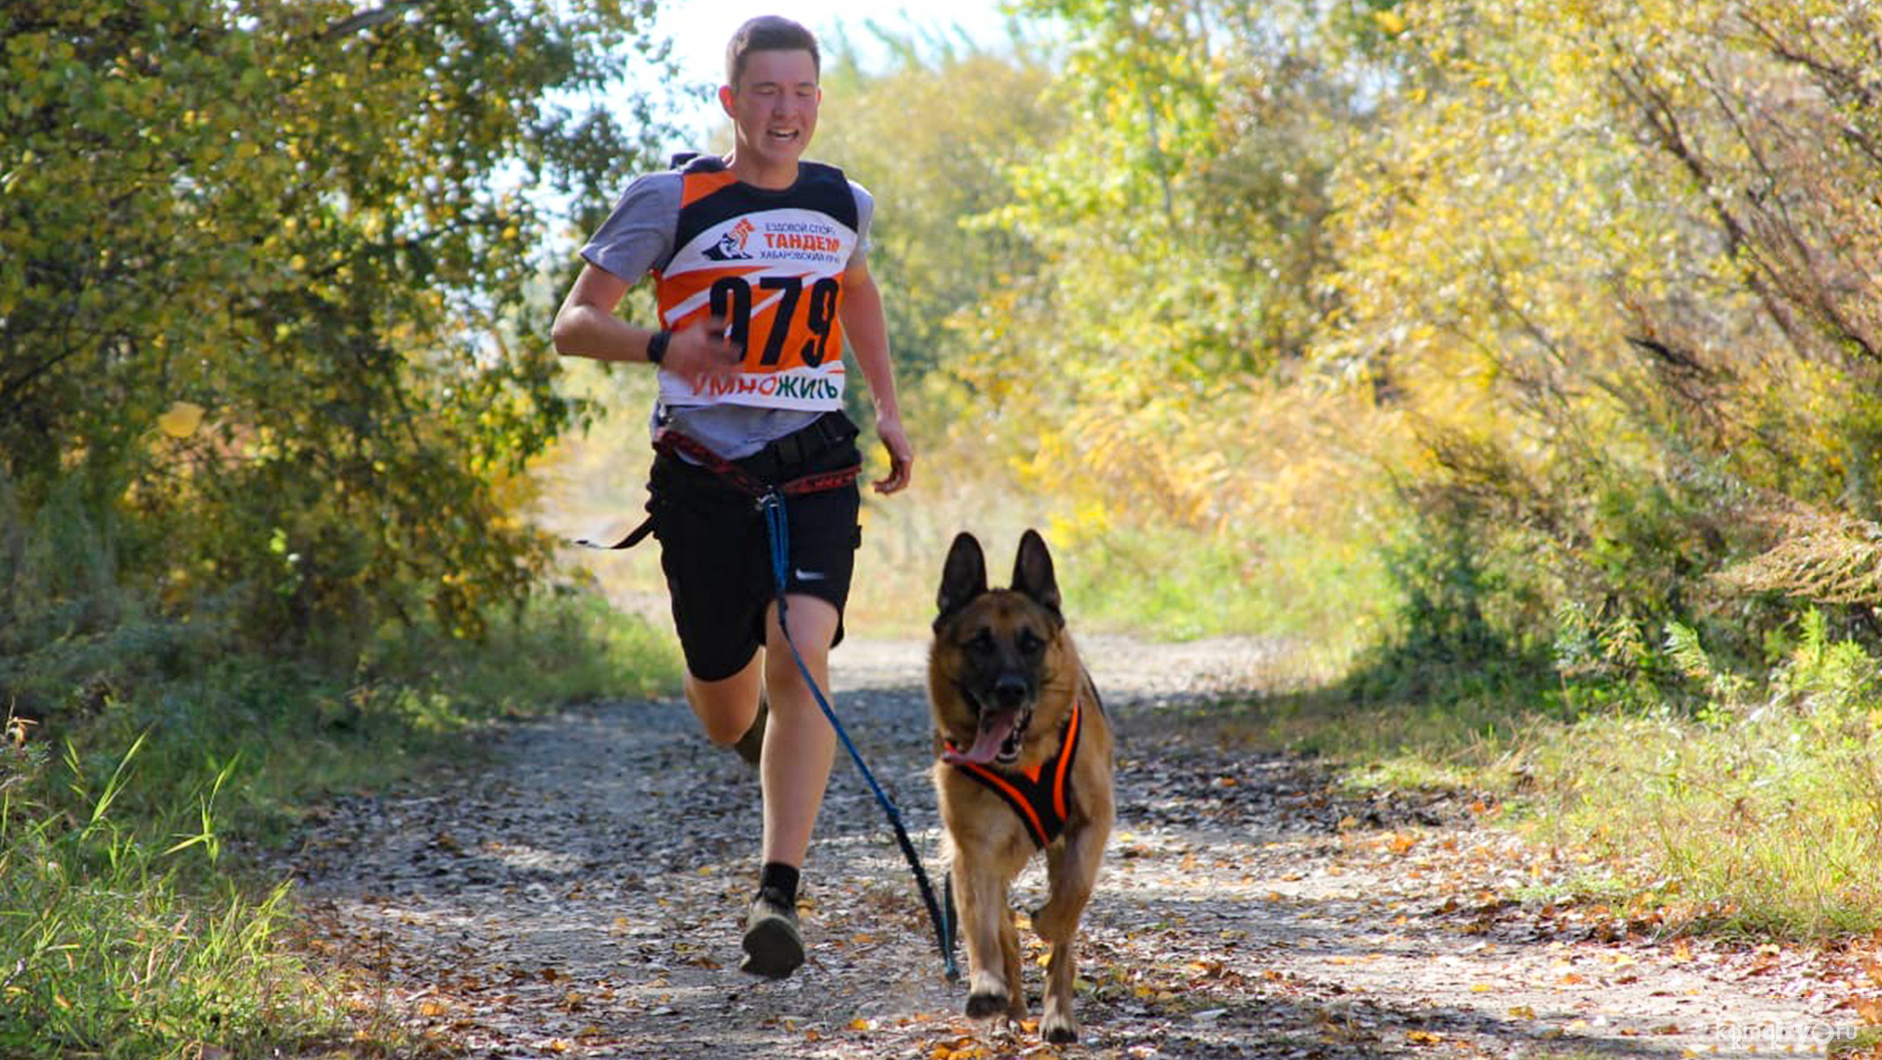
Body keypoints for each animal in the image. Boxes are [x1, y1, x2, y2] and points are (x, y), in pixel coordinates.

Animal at [929, 530, 1114, 1046]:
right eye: (979, 644)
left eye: (1031, 643)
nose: (1010, 689)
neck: (1025, 760)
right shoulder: (975, 850)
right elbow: (984, 929)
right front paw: (987, 987)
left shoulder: (1090, 826)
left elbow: (1070, 901)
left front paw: (1047, 922)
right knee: (1002, 929)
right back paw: (1009, 1008)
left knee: (1063, 938)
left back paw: (1059, 1016)